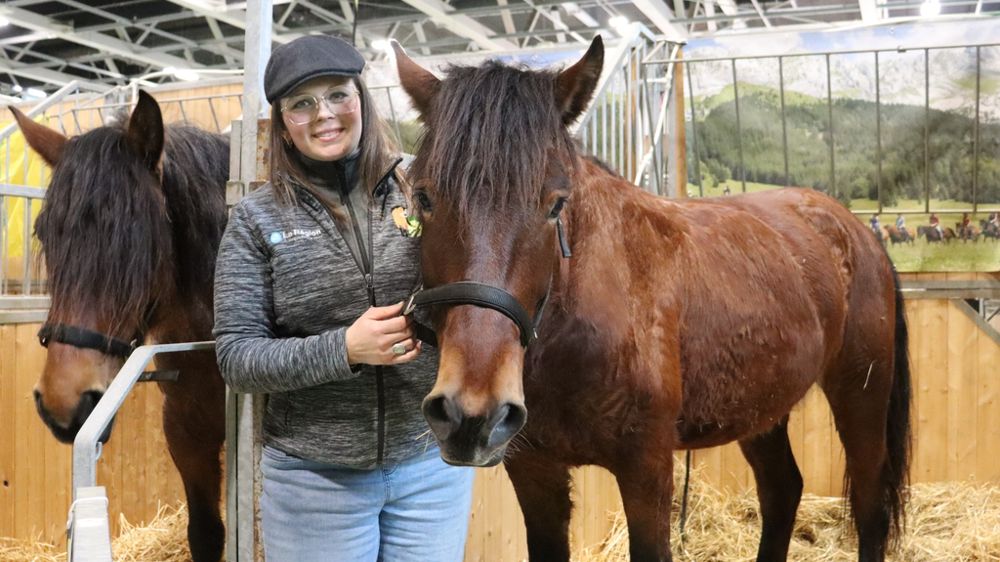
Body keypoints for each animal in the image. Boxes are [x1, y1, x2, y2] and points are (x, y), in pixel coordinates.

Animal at [394, 37, 911, 562]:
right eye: (424, 198)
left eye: (556, 204)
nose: (471, 414)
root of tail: (856, 232)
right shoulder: (534, 472)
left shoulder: (647, 470)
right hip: (762, 408)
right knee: (782, 489)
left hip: (860, 393)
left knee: (869, 502)